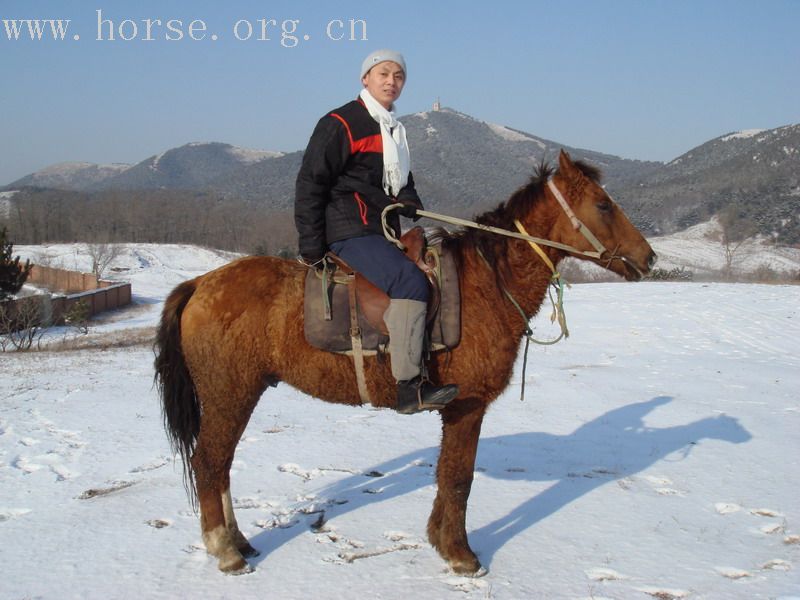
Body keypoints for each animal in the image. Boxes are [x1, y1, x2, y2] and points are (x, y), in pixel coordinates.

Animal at [155, 149, 656, 572]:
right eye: (604, 205)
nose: (649, 257)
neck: (485, 283)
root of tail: (199, 284)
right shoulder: (467, 405)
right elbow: (458, 477)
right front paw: (460, 554)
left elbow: (448, 475)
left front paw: (440, 540)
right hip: (230, 393)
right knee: (209, 462)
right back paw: (225, 549)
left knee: (220, 465)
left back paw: (238, 541)